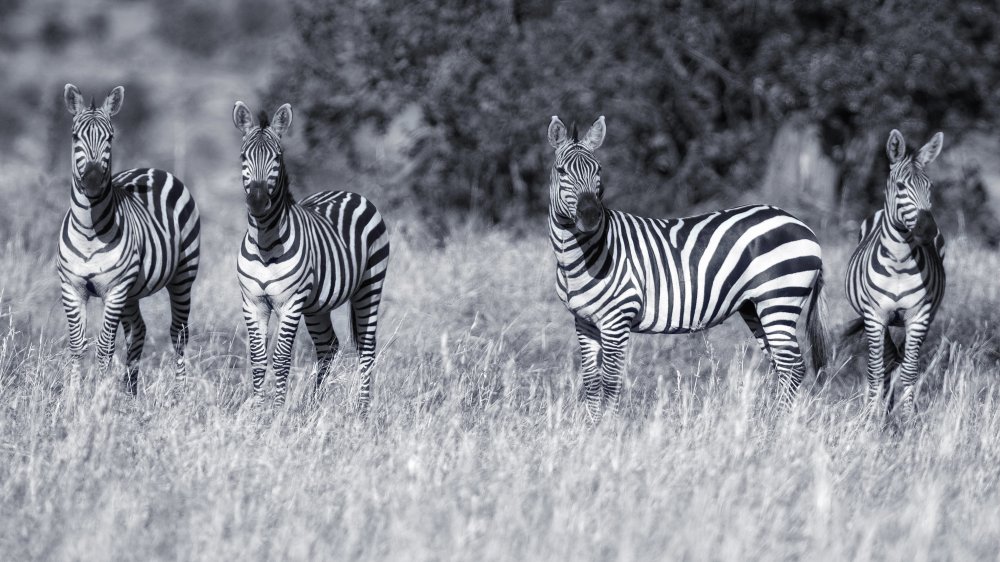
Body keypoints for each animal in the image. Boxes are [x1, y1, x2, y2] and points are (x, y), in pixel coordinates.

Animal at [58, 84, 201, 395]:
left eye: (110, 137)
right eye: (74, 136)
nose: (92, 180)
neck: (89, 231)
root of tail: (154, 169)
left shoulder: (115, 290)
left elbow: (103, 347)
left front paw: (96, 396)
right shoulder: (72, 288)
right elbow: (78, 346)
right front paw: (73, 397)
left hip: (182, 276)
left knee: (179, 333)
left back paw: (179, 395)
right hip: (132, 292)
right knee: (139, 330)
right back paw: (130, 392)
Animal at [232, 102, 390, 412]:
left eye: (278, 158)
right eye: (244, 156)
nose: (257, 202)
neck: (265, 242)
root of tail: (348, 192)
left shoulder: (291, 303)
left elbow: (281, 358)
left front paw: (276, 411)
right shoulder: (252, 302)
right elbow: (258, 359)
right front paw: (256, 409)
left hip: (370, 285)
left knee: (367, 348)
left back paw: (362, 410)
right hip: (318, 306)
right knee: (328, 346)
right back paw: (315, 405)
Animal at [546, 116, 829, 423]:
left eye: (598, 170)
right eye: (561, 171)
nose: (590, 217)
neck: (580, 256)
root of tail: (800, 224)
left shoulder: (616, 319)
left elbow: (610, 380)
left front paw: (608, 428)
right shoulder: (584, 321)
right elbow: (590, 380)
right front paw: (592, 427)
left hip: (779, 299)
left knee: (793, 365)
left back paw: (777, 425)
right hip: (755, 307)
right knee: (784, 365)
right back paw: (773, 422)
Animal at [845, 129, 945, 420]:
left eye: (930, 187)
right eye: (901, 186)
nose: (928, 230)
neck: (900, 262)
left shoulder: (919, 316)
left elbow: (910, 370)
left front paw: (909, 419)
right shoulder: (874, 316)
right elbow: (875, 370)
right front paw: (870, 418)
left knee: (899, 359)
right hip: (881, 320)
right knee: (887, 359)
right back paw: (884, 412)